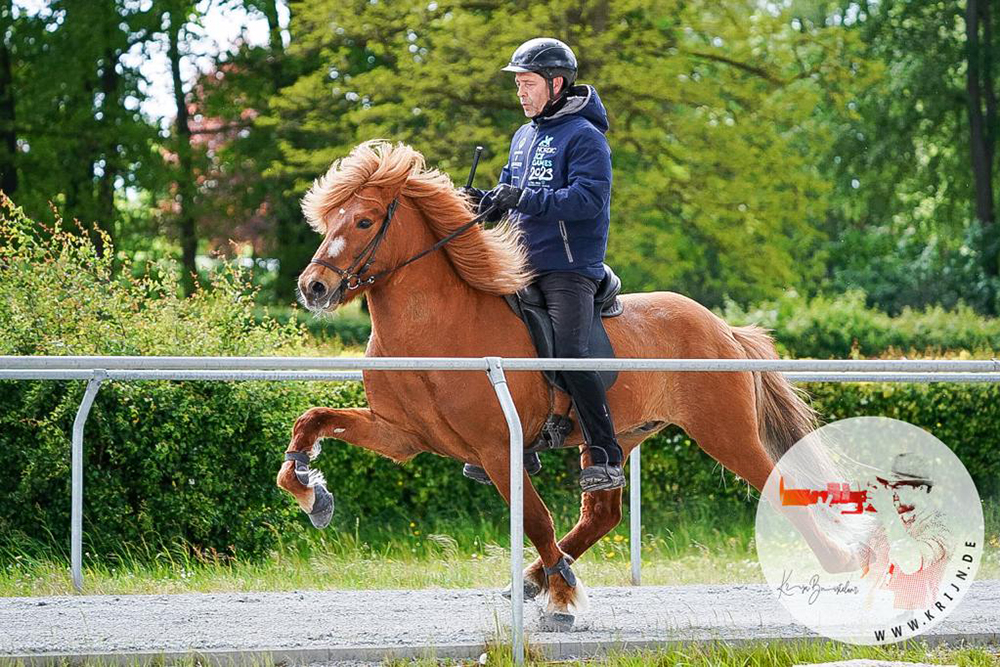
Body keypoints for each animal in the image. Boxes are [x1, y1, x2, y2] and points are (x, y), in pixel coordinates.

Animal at [276, 138, 852, 628]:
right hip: (613, 440)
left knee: (773, 482)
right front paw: (309, 490)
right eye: (329, 220)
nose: (313, 286)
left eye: (365, 220)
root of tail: (722, 328)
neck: (435, 330)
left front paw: (563, 598)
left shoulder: (497, 448)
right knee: (602, 513)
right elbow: (312, 422)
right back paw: (536, 577)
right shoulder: (400, 435)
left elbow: (536, 521)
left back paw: (843, 562)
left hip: (724, 432)